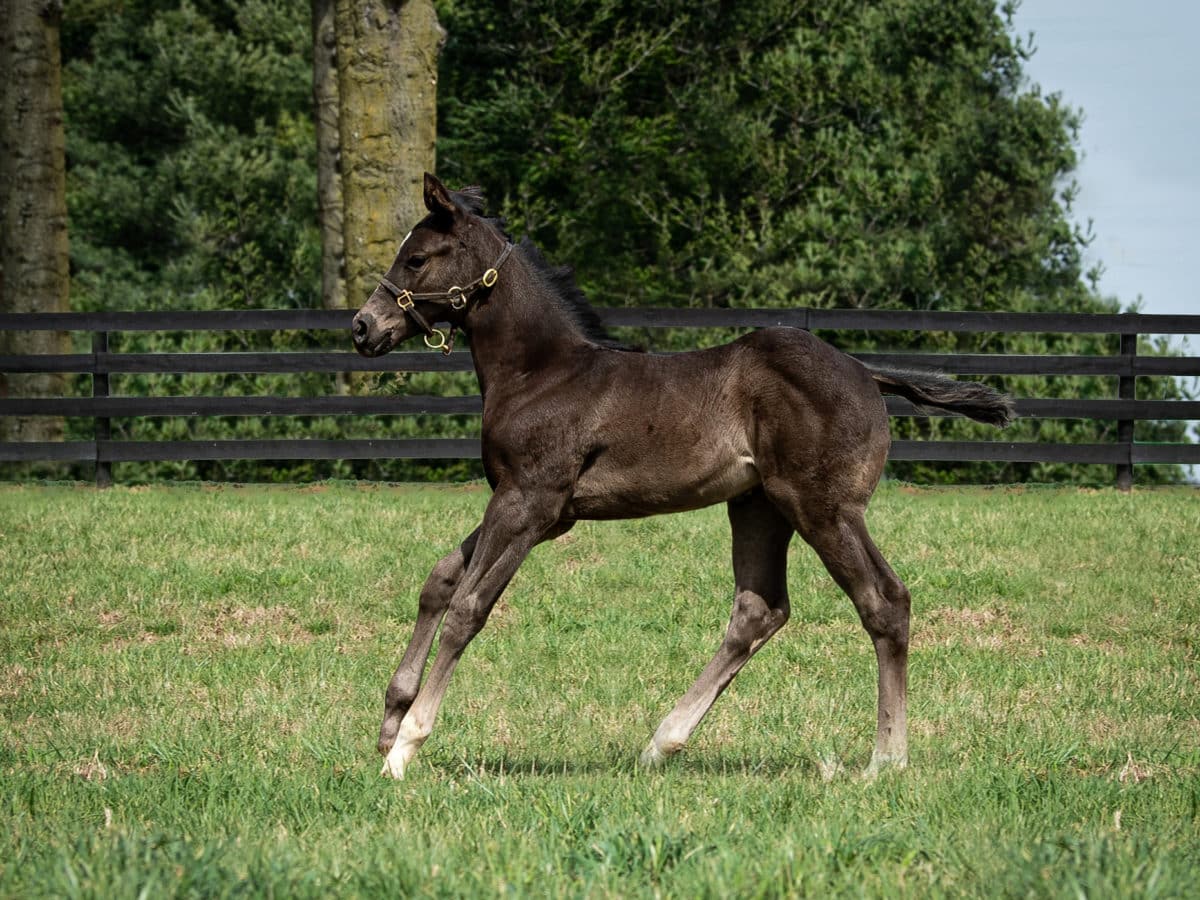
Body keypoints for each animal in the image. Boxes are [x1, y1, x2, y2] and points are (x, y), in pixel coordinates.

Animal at [350, 174, 1012, 782]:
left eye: (416, 258)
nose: (363, 327)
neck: (542, 373)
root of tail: (866, 372)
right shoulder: (538, 511)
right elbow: (440, 581)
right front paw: (388, 721)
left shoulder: (530, 504)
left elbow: (469, 606)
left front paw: (405, 748)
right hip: (759, 507)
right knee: (759, 610)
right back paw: (661, 743)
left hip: (824, 507)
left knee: (884, 600)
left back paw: (885, 760)